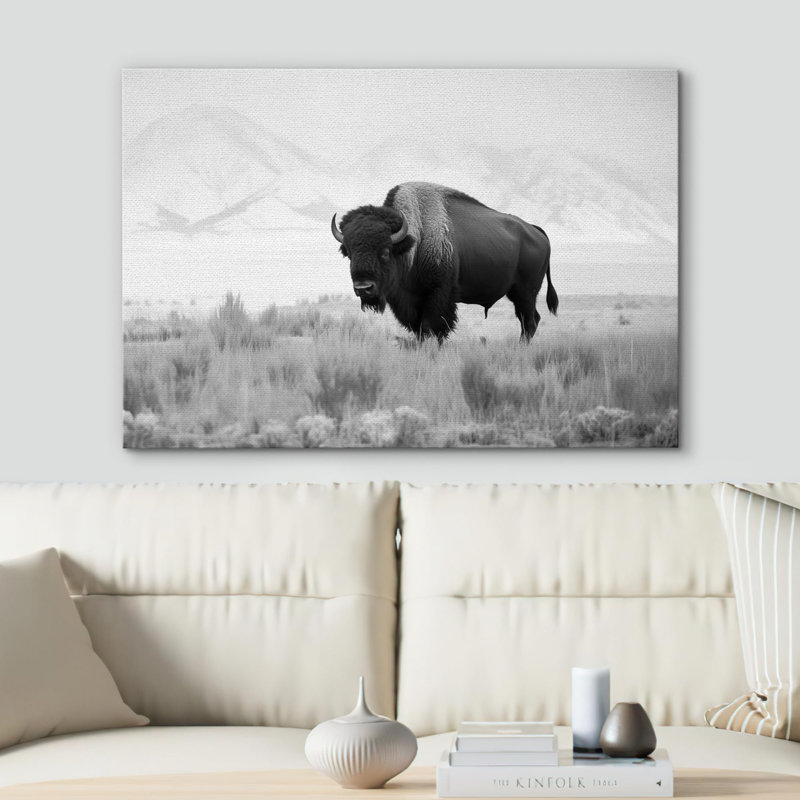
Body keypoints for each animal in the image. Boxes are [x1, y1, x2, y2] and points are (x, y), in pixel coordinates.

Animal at [330, 182, 557, 342]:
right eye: (349, 253)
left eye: (385, 251)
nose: (363, 288)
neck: (415, 241)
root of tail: (535, 230)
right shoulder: (412, 302)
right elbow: (420, 331)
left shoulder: (439, 295)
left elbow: (432, 328)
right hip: (518, 293)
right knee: (531, 320)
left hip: (525, 292)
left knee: (529, 321)